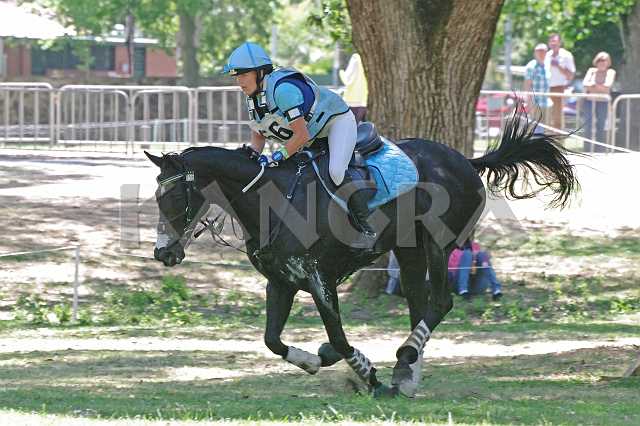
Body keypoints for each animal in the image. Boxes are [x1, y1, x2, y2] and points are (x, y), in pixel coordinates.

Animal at [145, 107, 579, 398]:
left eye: (174, 197)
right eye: (156, 197)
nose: (164, 254)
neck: (272, 202)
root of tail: (465, 160)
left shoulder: (319, 278)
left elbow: (337, 338)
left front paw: (366, 374)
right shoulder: (281, 282)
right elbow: (273, 340)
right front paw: (314, 359)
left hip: (437, 244)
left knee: (440, 302)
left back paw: (404, 360)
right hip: (408, 251)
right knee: (420, 303)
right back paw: (407, 373)